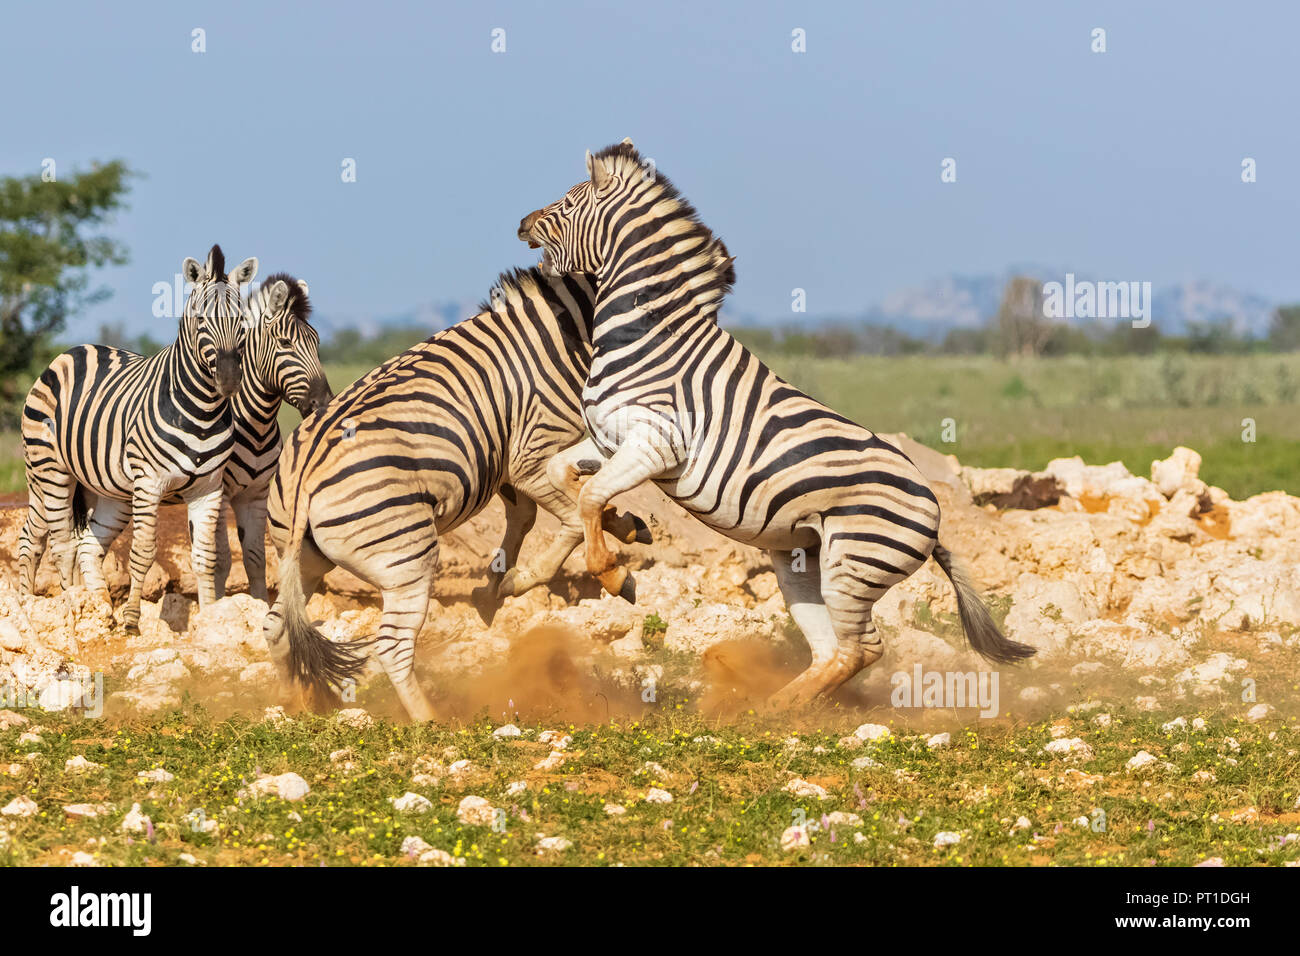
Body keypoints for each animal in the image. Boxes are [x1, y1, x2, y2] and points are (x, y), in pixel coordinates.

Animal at [19, 247, 258, 632]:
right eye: (200, 319)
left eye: (241, 320)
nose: (229, 379)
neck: (203, 411)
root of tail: (73, 351)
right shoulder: (149, 483)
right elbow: (143, 552)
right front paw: (132, 620)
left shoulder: (209, 488)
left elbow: (205, 557)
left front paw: (211, 618)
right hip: (48, 471)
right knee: (52, 541)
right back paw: (66, 607)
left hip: (107, 490)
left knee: (78, 544)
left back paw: (95, 609)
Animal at [214, 269, 332, 598]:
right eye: (285, 343)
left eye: (317, 343)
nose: (324, 404)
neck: (256, 425)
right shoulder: (219, 493)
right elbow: (222, 560)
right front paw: (213, 606)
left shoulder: (256, 495)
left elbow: (255, 560)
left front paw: (259, 605)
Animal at [263, 265, 650, 723]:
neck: (560, 337)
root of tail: (304, 477)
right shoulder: (529, 453)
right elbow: (573, 512)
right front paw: (591, 573)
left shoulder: (505, 460)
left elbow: (541, 511)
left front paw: (496, 586)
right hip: (407, 560)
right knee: (392, 647)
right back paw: (432, 722)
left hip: (302, 559)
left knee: (277, 628)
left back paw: (294, 705)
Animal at [517, 143, 1034, 712]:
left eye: (567, 202)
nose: (522, 224)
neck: (650, 335)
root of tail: (936, 514)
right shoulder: (608, 438)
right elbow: (566, 477)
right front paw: (620, 528)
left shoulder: (657, 441)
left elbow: (589, 496)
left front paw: (613, 573)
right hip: (800, 562)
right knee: (831, 651)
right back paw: (768, 710)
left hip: (852, 565)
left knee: (862, 648)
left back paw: (775, 712)